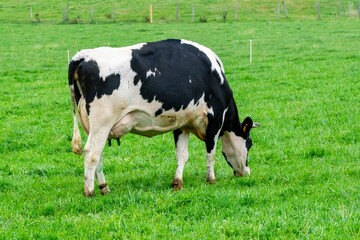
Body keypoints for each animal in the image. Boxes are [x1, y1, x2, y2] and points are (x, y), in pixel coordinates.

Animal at [68, 38, 256, 196]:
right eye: (250, 143)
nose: (246, 173)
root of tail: (83, 56)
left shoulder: (182, 124)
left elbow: (182, 155)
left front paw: (177, 182)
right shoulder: (215, 119)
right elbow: (211, 152)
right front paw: (211, 179)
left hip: (91, 125)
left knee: (98, 153)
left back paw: (104, 187)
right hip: (102, 122)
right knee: (91, 153)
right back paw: (89, 191)